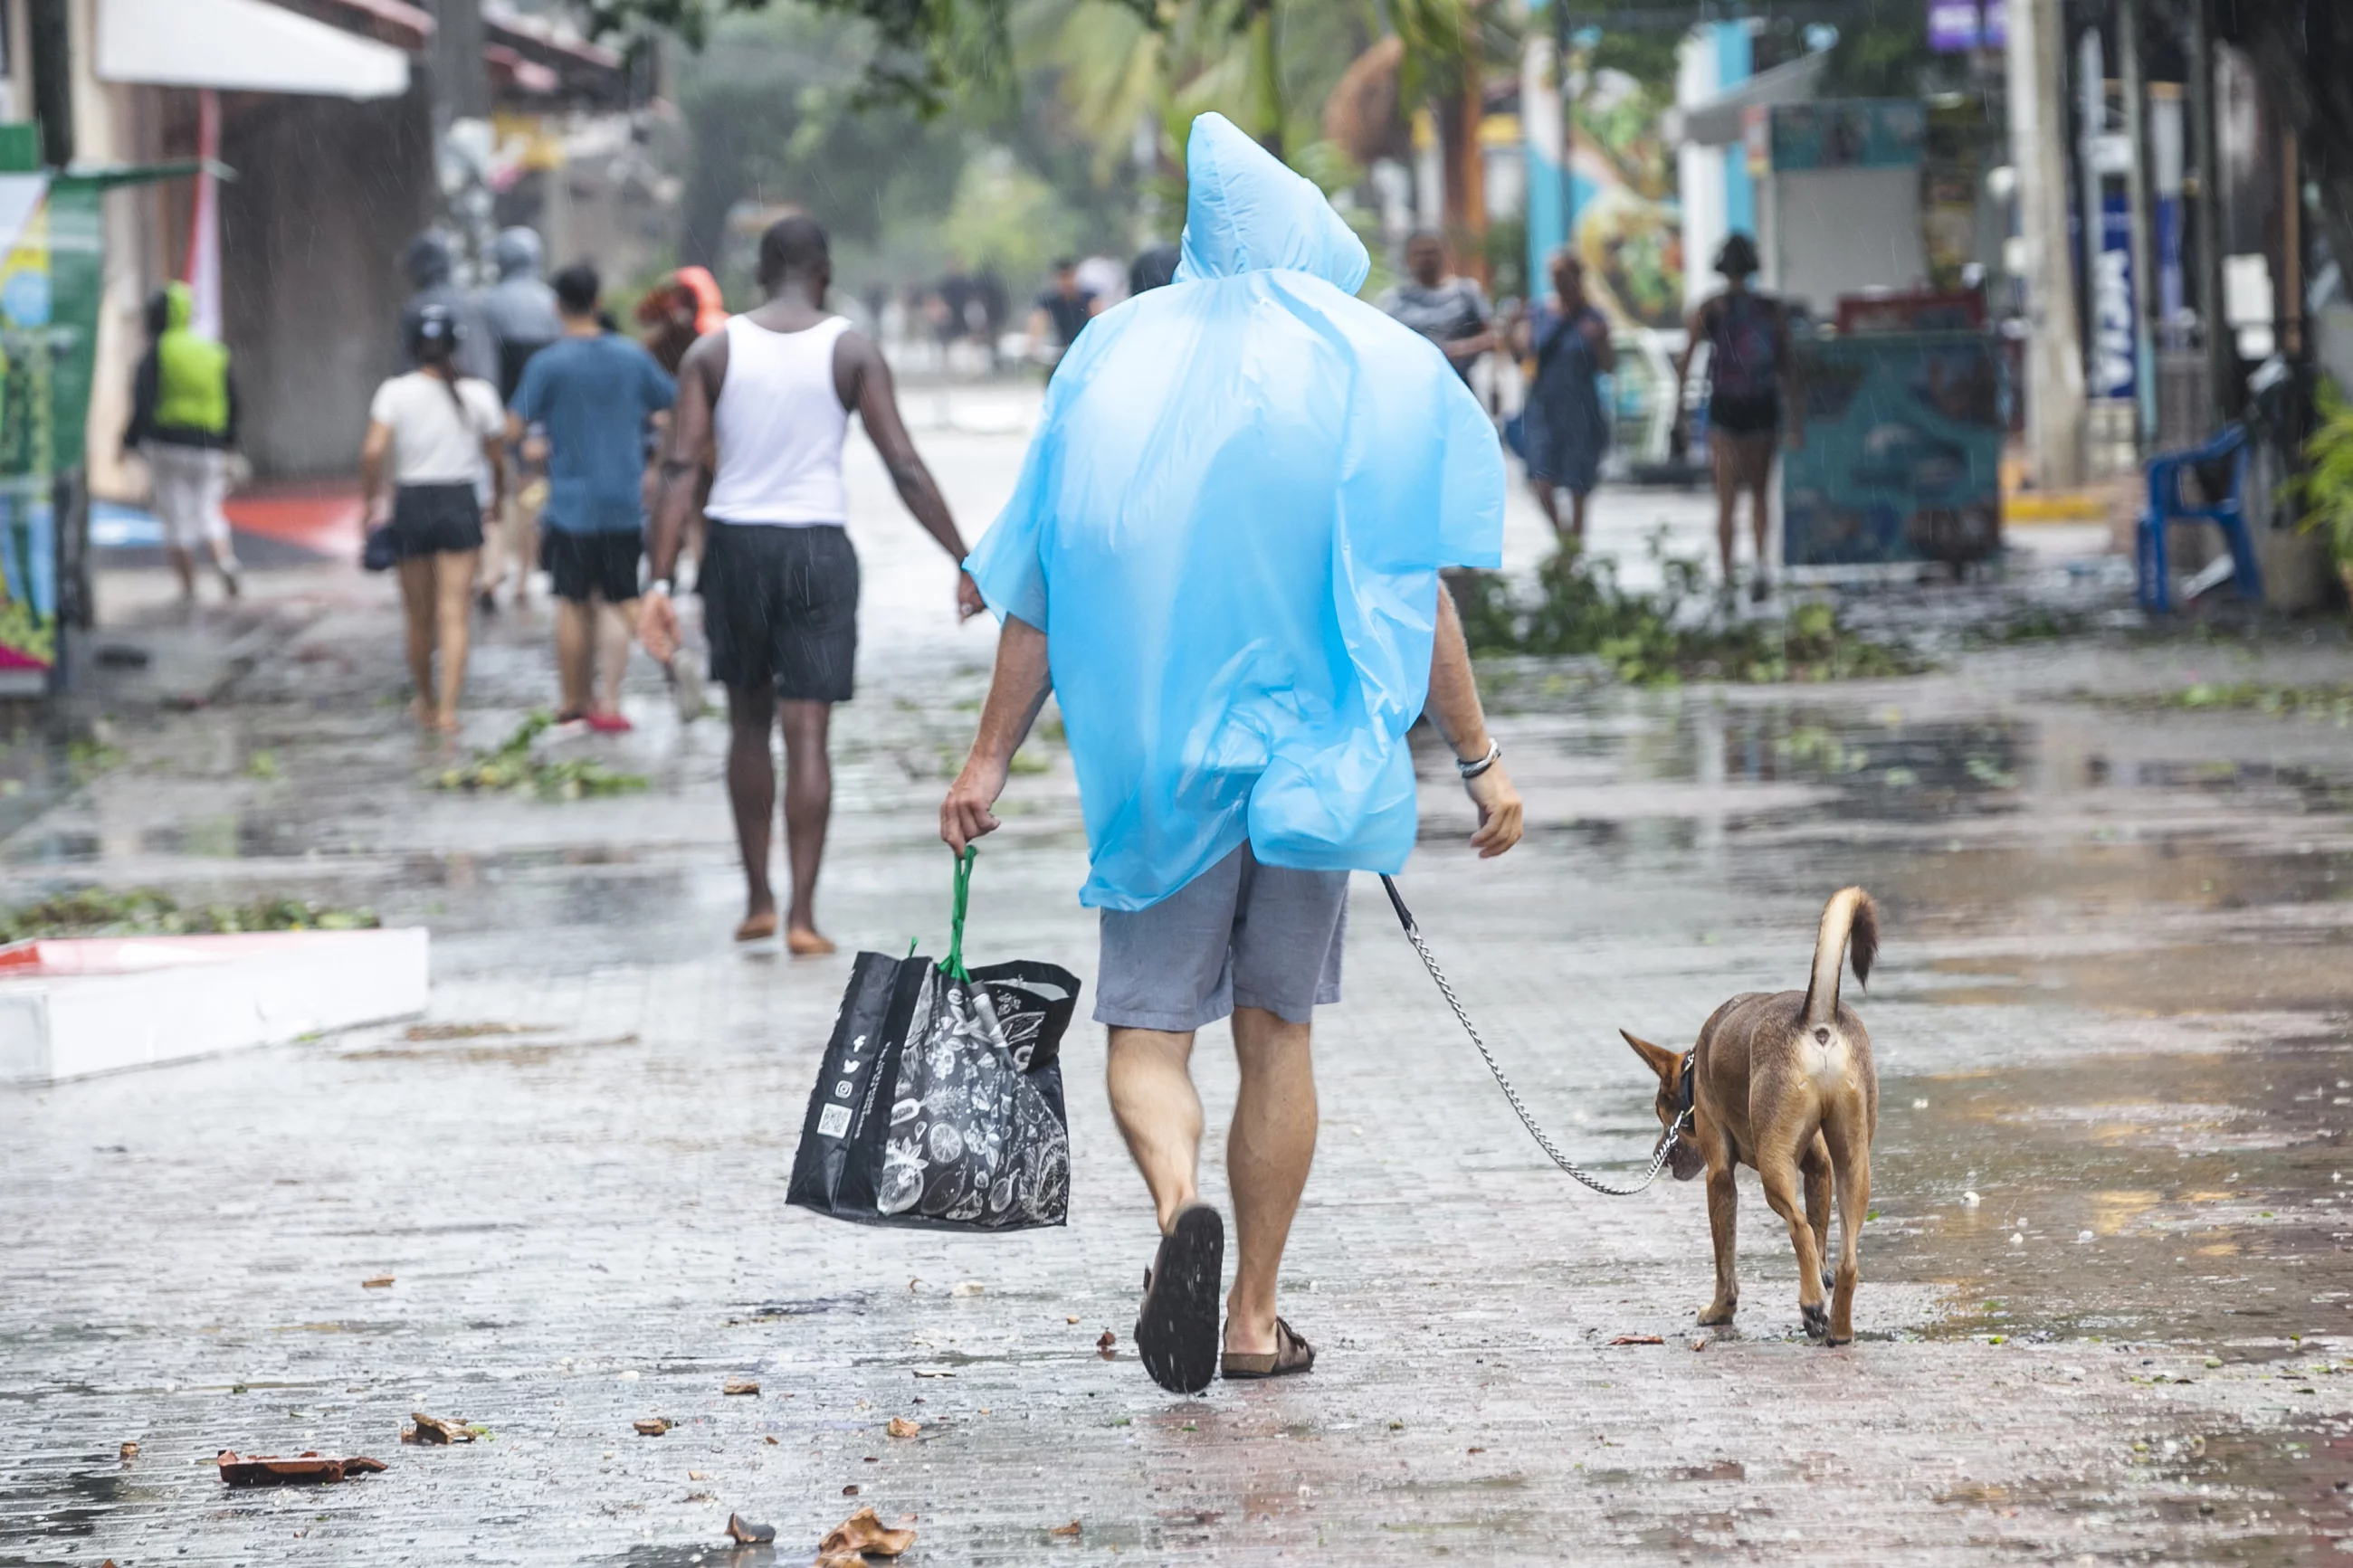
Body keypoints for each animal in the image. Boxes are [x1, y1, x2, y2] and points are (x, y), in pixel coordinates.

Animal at [1628, 889, 1882, 1345]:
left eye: (1662, 1113)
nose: (1663, 1157)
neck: (1696, 1068)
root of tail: (1816, 1019)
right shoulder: (1820, 1166)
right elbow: (1820, 1234)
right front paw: (1820, 1279)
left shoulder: (1719, 1175)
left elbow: (1725, 1258)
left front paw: (1719, 1311)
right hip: (1853, 1163)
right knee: (1847, 1259)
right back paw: (1836, 1326)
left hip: (1772, 1166)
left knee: (1797, 1226)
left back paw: (1812, 1305)